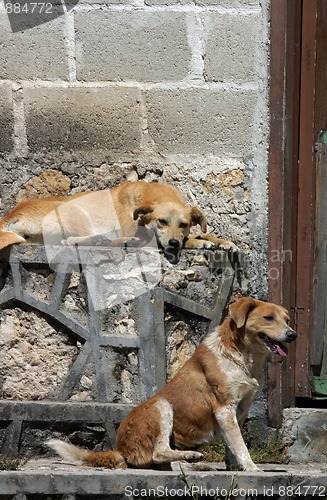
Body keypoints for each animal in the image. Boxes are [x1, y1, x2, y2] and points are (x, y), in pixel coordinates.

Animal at [0, 181, 237, 266]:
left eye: (184, 224)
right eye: (161, 221)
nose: (173, 244)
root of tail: (10, 216)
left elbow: (199, 234)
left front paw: (224, 242)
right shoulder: (146, 234)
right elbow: (190, 239)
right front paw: (199, 243)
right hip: (74, 211)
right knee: (71, 241)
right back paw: (115, 241)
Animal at [48, 298, 298, 470]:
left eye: (287, 320)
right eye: (268, 318)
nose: (293, 335)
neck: (242, 356)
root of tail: (120, 449)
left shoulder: (241, 410)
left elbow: (232, 446)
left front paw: (234, 468)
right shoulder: (224, 409)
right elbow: (241, 446)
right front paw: (252, 468)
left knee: (167, 463)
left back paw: (194, 462)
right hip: (162, 406)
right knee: (159, 452)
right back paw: (190, 457)